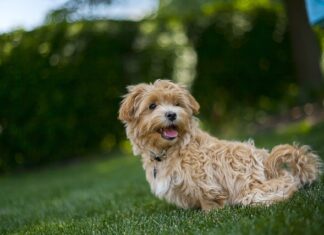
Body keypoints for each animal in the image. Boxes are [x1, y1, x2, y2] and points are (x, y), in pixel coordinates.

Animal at [118, 79, 322, 211]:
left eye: (177, 104)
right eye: (152, 106)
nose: (172, 114)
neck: (172, 149)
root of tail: (267, 161)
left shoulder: (204, 177)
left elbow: (208, 196)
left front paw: (209, 213)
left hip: (251, 185)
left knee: (285, 183)